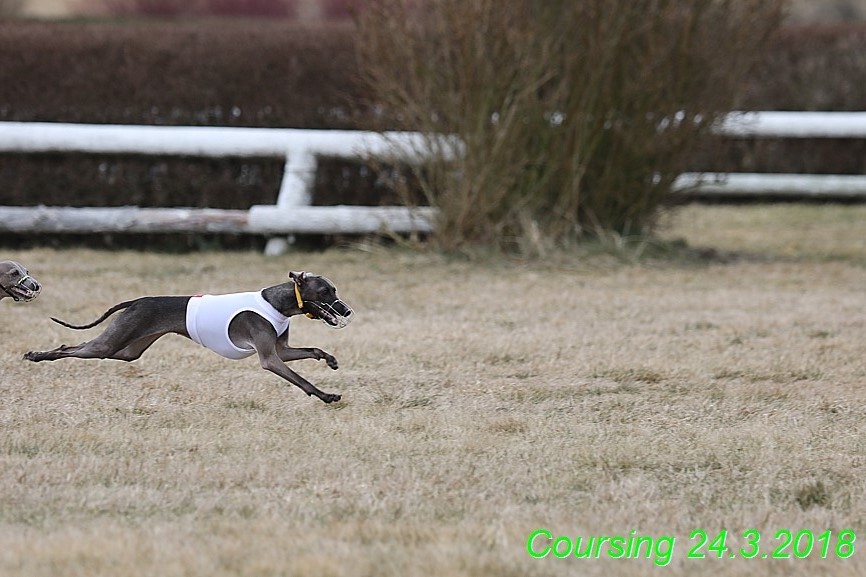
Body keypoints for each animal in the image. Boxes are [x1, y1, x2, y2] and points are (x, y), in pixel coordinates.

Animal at [24, 272, 354, 402]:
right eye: (326, 292)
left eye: (334, 289)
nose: (347, 310)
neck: (277, 302)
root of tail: (137, 301)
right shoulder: (270, 359)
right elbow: (300, 380)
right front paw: (326, 396)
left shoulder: (281, 350)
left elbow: (312, 349)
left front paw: (330, 360)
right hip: (111, 342)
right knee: (69, 347)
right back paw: (37, 355)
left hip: (127, 349)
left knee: (85, 347)